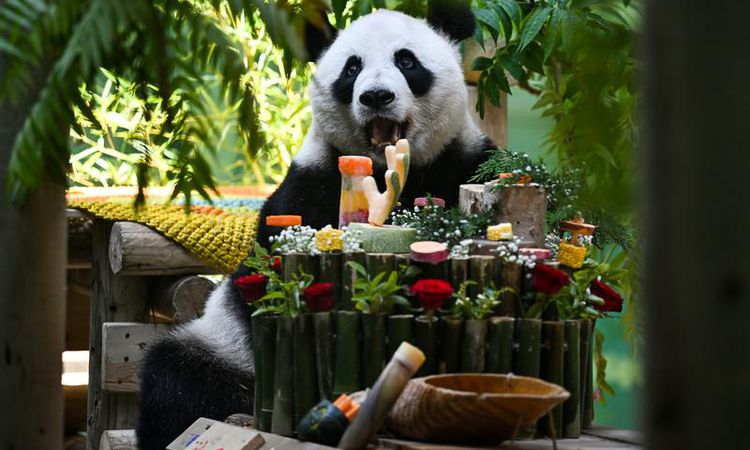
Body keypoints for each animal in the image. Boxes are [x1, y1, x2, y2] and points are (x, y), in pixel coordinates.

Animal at [137, 3, 494, 449]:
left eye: (407, 61)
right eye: (352, 68)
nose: (376, 96)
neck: (385, 169)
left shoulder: (464, 163)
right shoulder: (309, 184)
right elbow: (265, 272)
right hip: (221, 348)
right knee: (176, 380)